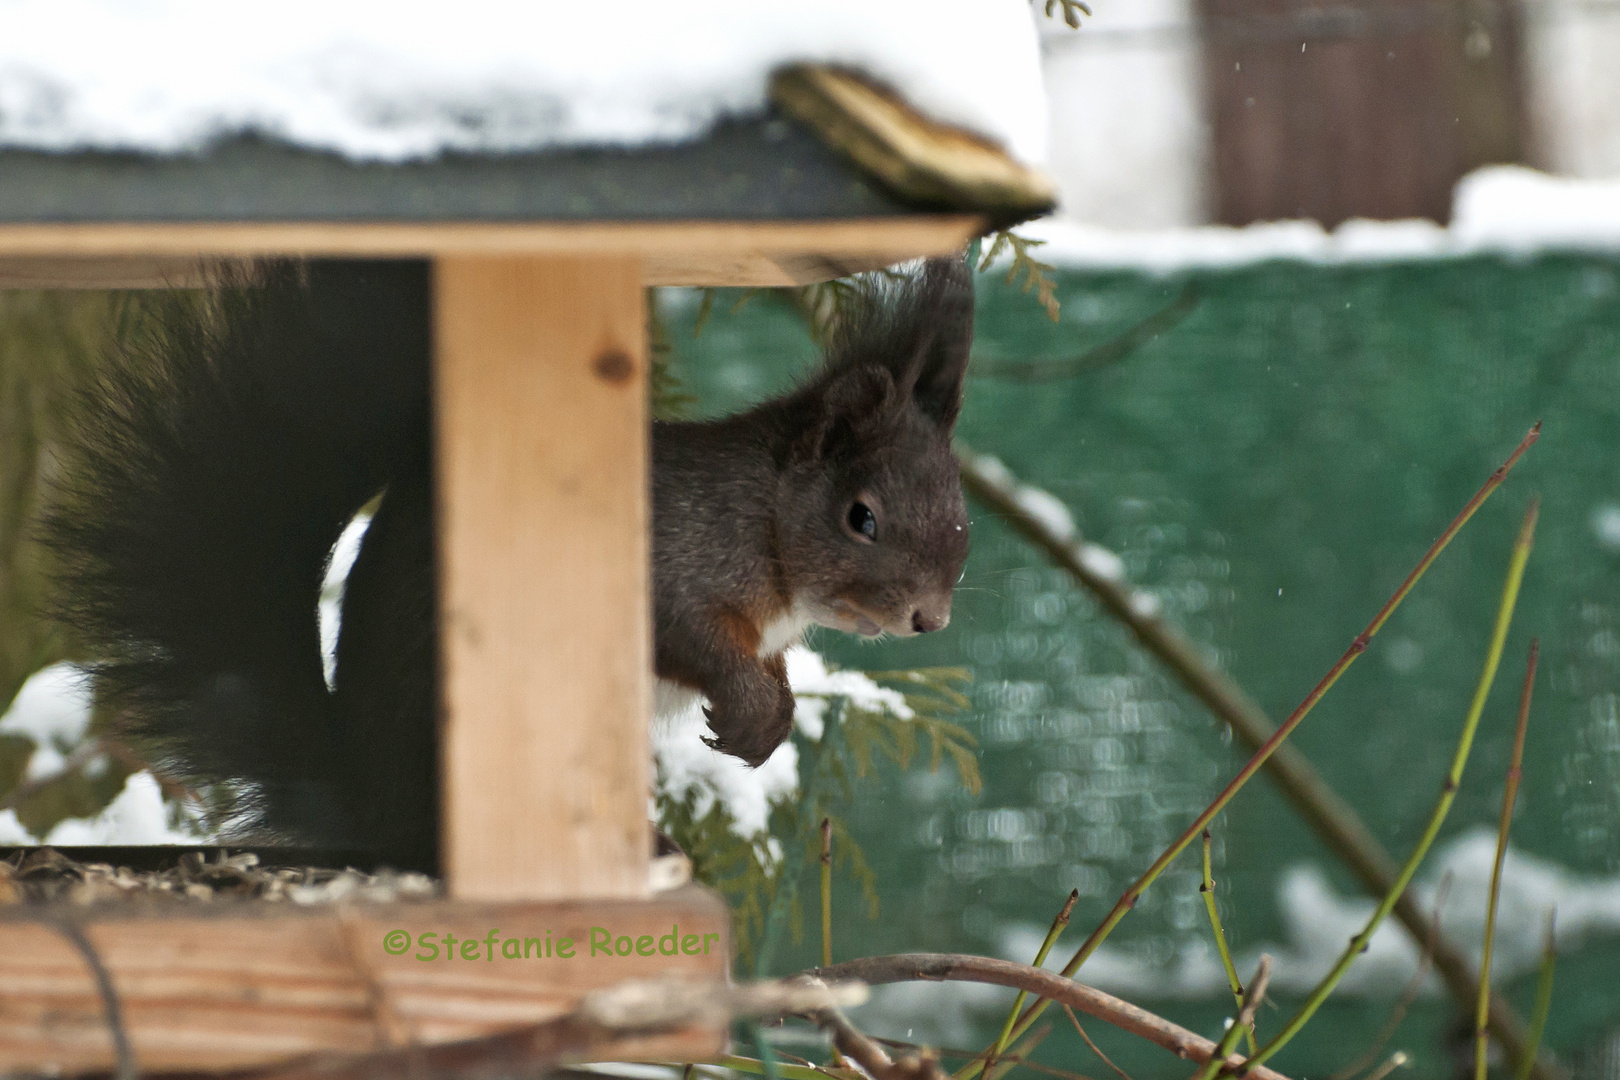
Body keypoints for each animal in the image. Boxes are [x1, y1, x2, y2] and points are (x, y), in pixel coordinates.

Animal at [41, 257, 972, 874]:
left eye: (961, 511)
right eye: (861, 517)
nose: (930, 619)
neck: (767, 527)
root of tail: (364, 799)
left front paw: (773, 710)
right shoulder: (674, 561)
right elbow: (692, 636)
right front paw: (748, 710)